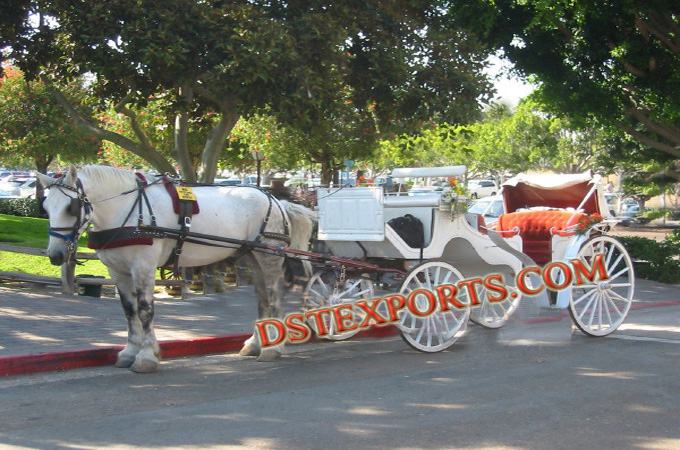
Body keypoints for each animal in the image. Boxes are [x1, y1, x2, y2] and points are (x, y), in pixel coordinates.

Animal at [39, 165, 318, 372]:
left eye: (71, 207)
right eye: (45, 207)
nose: (55, 255)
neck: (127, 209)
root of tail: (276, 200)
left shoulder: (143, 266)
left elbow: (145, 310)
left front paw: (146, 357)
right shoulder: (118, 271)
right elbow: (129, 311)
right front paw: (130, 352)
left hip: (268, 256)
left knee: (274, 297)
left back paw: (273, 348)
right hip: (251, 256)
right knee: (262, 298)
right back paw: (257, 344)